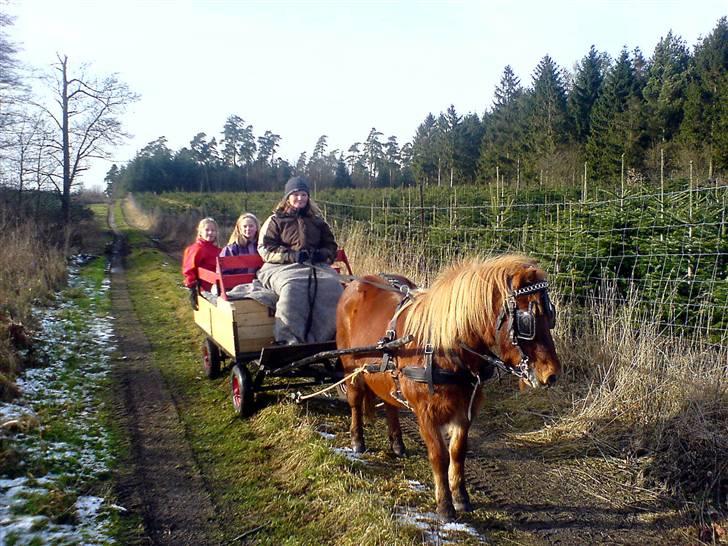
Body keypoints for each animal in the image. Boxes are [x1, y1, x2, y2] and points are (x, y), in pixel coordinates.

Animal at [336, 255, 564, 520]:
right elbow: (439, 455)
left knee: (390, 404)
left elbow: (457, 452)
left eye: (551, 316)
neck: (445, 348)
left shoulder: (465, 410)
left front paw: (461, 497)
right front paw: (445, 505)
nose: (552, 374)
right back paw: (357, 440)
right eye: (527, 320)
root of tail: (354, 283)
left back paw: (397, 443)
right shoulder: (426, 414)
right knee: (355, 402)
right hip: (351, 369)